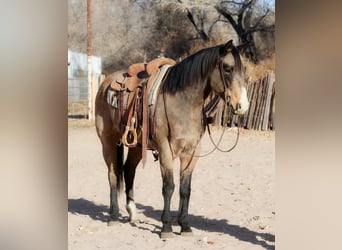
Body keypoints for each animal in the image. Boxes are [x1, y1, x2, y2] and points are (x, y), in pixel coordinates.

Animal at [95, 39, 250, 238]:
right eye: (228, 68)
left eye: (244, 69)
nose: (242, 105)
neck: (183, 103)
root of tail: (105, 83)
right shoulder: (165, 150)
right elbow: (168, 187)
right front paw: (166, 227)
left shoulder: (192, 152)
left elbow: (185, 189)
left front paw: (184, 225)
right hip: (108, 142)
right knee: (113, 174)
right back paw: (114, 216)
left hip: (137, 145)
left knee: (129, 171)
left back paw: (133, 214)